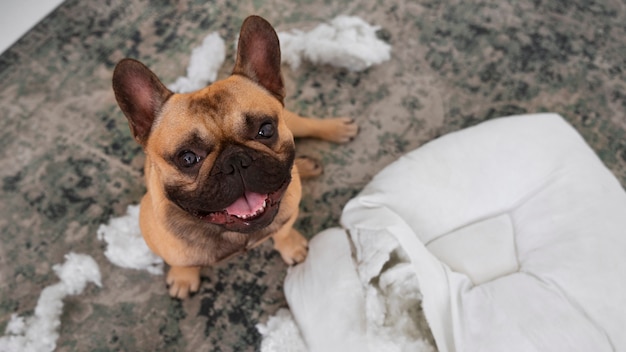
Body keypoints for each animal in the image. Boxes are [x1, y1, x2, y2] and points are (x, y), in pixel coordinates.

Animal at [111, 15, 356, 298]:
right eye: (187, 158)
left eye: (265, 129)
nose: (235, 161)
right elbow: (181, 262)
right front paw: (183, 278)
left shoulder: (287, 214)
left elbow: (283, 232)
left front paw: (291, 246)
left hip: (293, 120)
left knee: (307, 125)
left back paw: (335, 130)